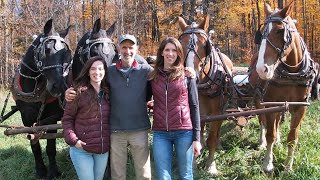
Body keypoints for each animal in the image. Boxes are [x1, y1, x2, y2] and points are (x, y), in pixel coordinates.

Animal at [10, 19, 72, 179]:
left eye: (66, 55)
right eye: (47, 50)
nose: (59, 86)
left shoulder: (52, 117)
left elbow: (50, 146)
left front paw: (53, 171)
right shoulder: (25, 117)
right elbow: (34, 144)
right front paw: (40, 170)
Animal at [176, 14, 234, 175]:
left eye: (204, 46)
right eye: (180, 45)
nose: (191, 74)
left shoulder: (217, 112)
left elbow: (212, 138)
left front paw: (210, 166)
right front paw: (193, 164)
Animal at [252, 2, 318, 172]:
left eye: (280, 30)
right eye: (261, 33)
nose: (261, 69)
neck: (292, 74)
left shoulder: (300, 106)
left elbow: (292, 138)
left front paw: (288, 167)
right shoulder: (270, 103)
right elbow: (270, 134)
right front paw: (268, 163)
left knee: (277, 122)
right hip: (258, 100)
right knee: (262, 122)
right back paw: (262, 142)